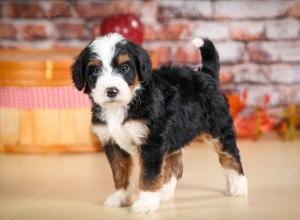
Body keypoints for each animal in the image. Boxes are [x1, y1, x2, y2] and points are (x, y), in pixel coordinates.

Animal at [71, 33, 247, 215]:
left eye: (125, 67)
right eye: (94, 70)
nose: (111, 91)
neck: (124, 104)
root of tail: (207, 74)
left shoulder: (152, 143)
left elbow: (148, 175)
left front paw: (146, 202)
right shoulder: (112, 143)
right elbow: (120, 172)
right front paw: (121, 197)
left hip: (218, 129)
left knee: (231, 156)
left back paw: (238, 187)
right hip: (176, 133)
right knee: (175, 166)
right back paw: (164, 192)